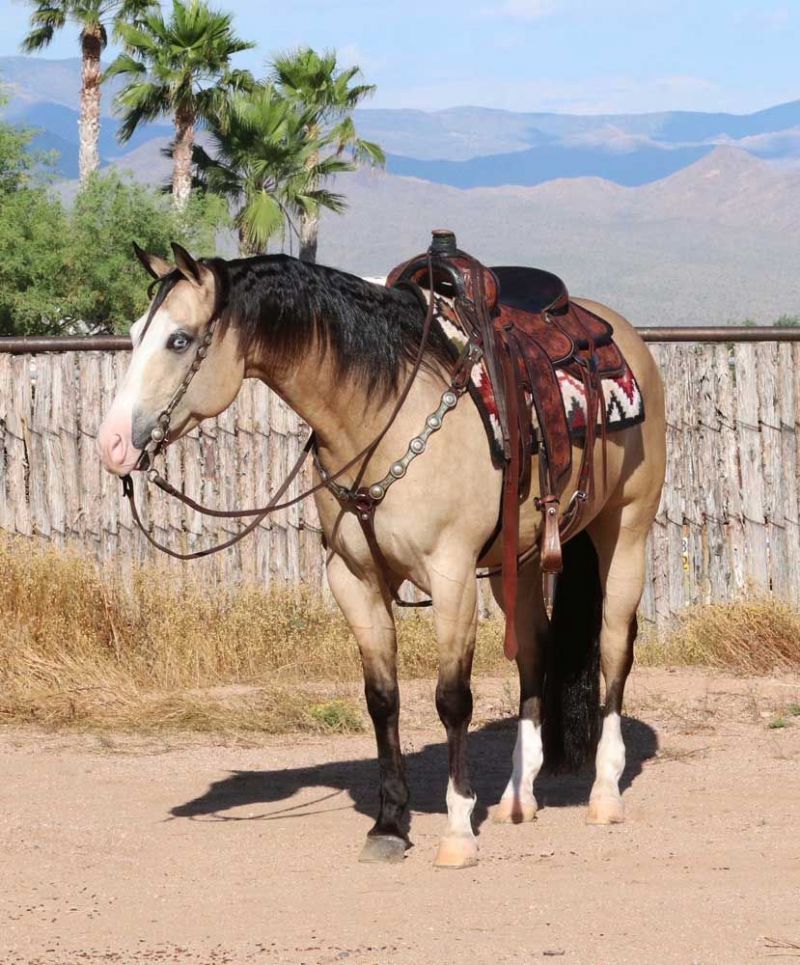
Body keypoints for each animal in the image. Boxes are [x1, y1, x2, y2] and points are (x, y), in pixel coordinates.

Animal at [97, 242, 666, 869]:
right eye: (134, 333)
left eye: (179, 340)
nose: (112, 444)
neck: (383, 415)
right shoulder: (355, 580)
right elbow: (382, 699)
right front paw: (390, 823)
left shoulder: (450, 576)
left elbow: (452, 700)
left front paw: (458, 830)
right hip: (514, 563)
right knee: (534, 653)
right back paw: (518, 797)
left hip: (626, 531)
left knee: (614, 647)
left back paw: (605, 794)